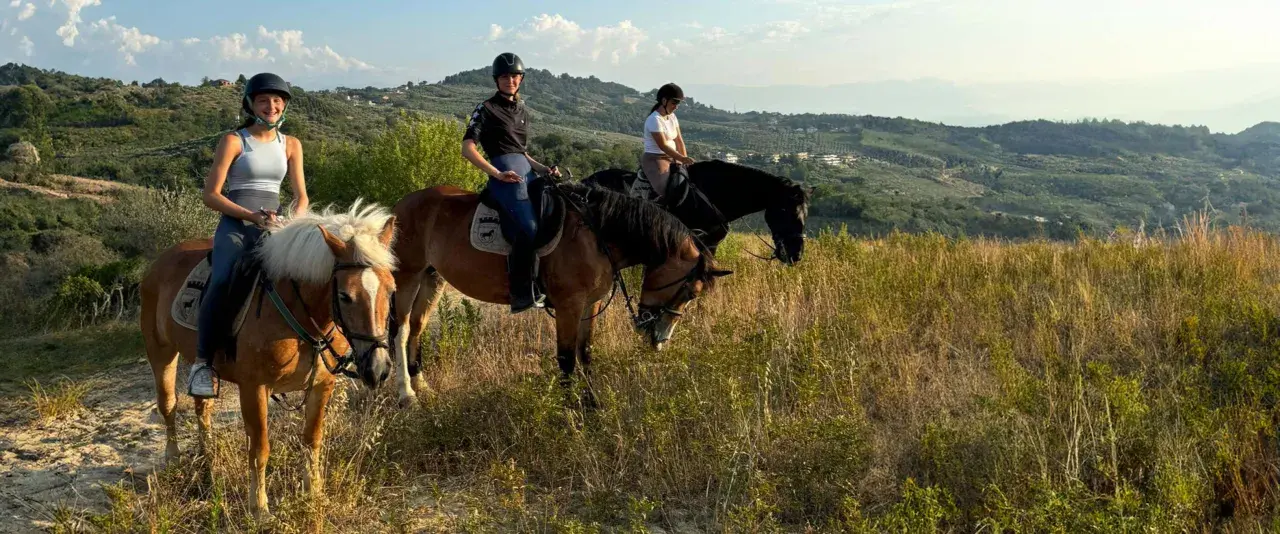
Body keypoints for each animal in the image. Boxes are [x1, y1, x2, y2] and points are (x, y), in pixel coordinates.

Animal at [139, 202, 398, 519]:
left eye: (391, 289)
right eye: (345, 296)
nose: (378, 368)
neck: (298, 313)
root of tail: (159, 263)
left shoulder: (322, 384)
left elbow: (312, 439)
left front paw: (313, 492)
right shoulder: (254, 389)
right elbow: (259, 449)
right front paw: (259, 508)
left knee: (203, 407)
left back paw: (207, 454)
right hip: (160, 352)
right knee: (168, 405)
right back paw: (173, 458)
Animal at [388, 182, 731, 406]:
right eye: (690, 292)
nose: (660, 340)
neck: (597, 235)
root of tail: (401, 205)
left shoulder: (589, 304)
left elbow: (585, 352)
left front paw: (593, 404)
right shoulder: (569, 306)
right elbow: (566, 358)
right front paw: (569, 413)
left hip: (433, 277)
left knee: (417, 327)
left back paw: (422, 385)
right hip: (407, 275)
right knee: (401, 331)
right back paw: (406, 394)